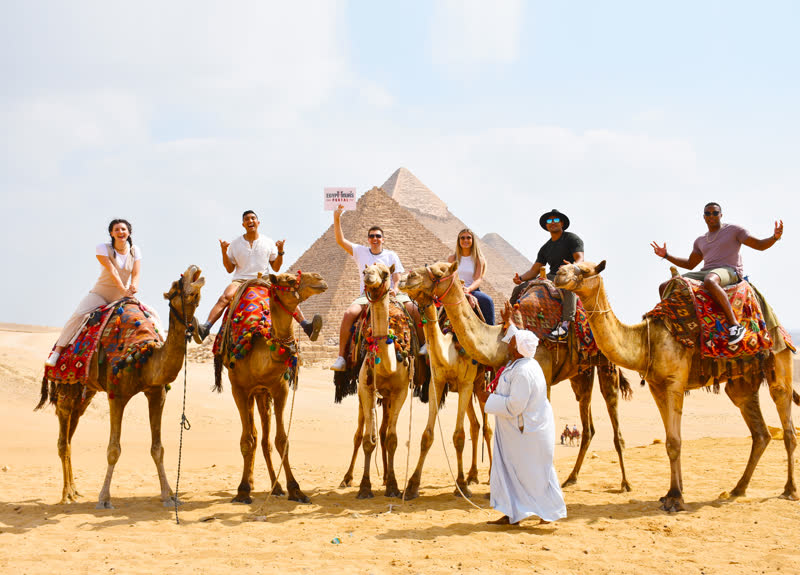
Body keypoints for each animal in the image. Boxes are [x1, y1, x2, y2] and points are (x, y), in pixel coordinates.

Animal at [36, 266, 205, 508]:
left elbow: (158, 449)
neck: (142, 357)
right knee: (63, 437)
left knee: (70, 432)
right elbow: (113, 449)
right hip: (66, 385)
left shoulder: (157, 392)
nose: (194, 269)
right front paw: (104, 498)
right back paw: (67, 494)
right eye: (177, 284)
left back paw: (75, 490)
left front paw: (168, 495)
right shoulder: (117, 394)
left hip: (86, 392)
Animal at [214, 271, 327, 504]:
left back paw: (276, 487)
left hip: (262, 394)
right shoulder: (238, 389)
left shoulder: (279, 388)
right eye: (289, 280)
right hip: (251, 394)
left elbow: (281, 441)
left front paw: (295, 489)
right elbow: (247, 441)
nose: (320, 278)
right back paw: (251, 483)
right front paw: (242, 491)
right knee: (255, 436)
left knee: (265, 440)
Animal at [400, 261, 633, 491]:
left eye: (440, 273)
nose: (407, 277)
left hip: (606, 364)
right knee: (587, 424)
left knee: (611, 407)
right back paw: (571, 478)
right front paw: (412, 484)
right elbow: (430, 434)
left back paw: (625, 482)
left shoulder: (541, 377)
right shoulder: (447, 381)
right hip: (580, 374)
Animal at [554, 260, 799, 511]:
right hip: (743, 382)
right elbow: (672, 441)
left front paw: (675, 498)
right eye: (568, 265)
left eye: (584, 269)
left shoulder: (674, 383)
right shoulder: (656, 386)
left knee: (787, 425)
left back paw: (789, 490)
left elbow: (674, 441)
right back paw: (738, 489)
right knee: (760, 432)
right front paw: (673, 493)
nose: (559, 275)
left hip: (779, 359)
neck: (647, 340)